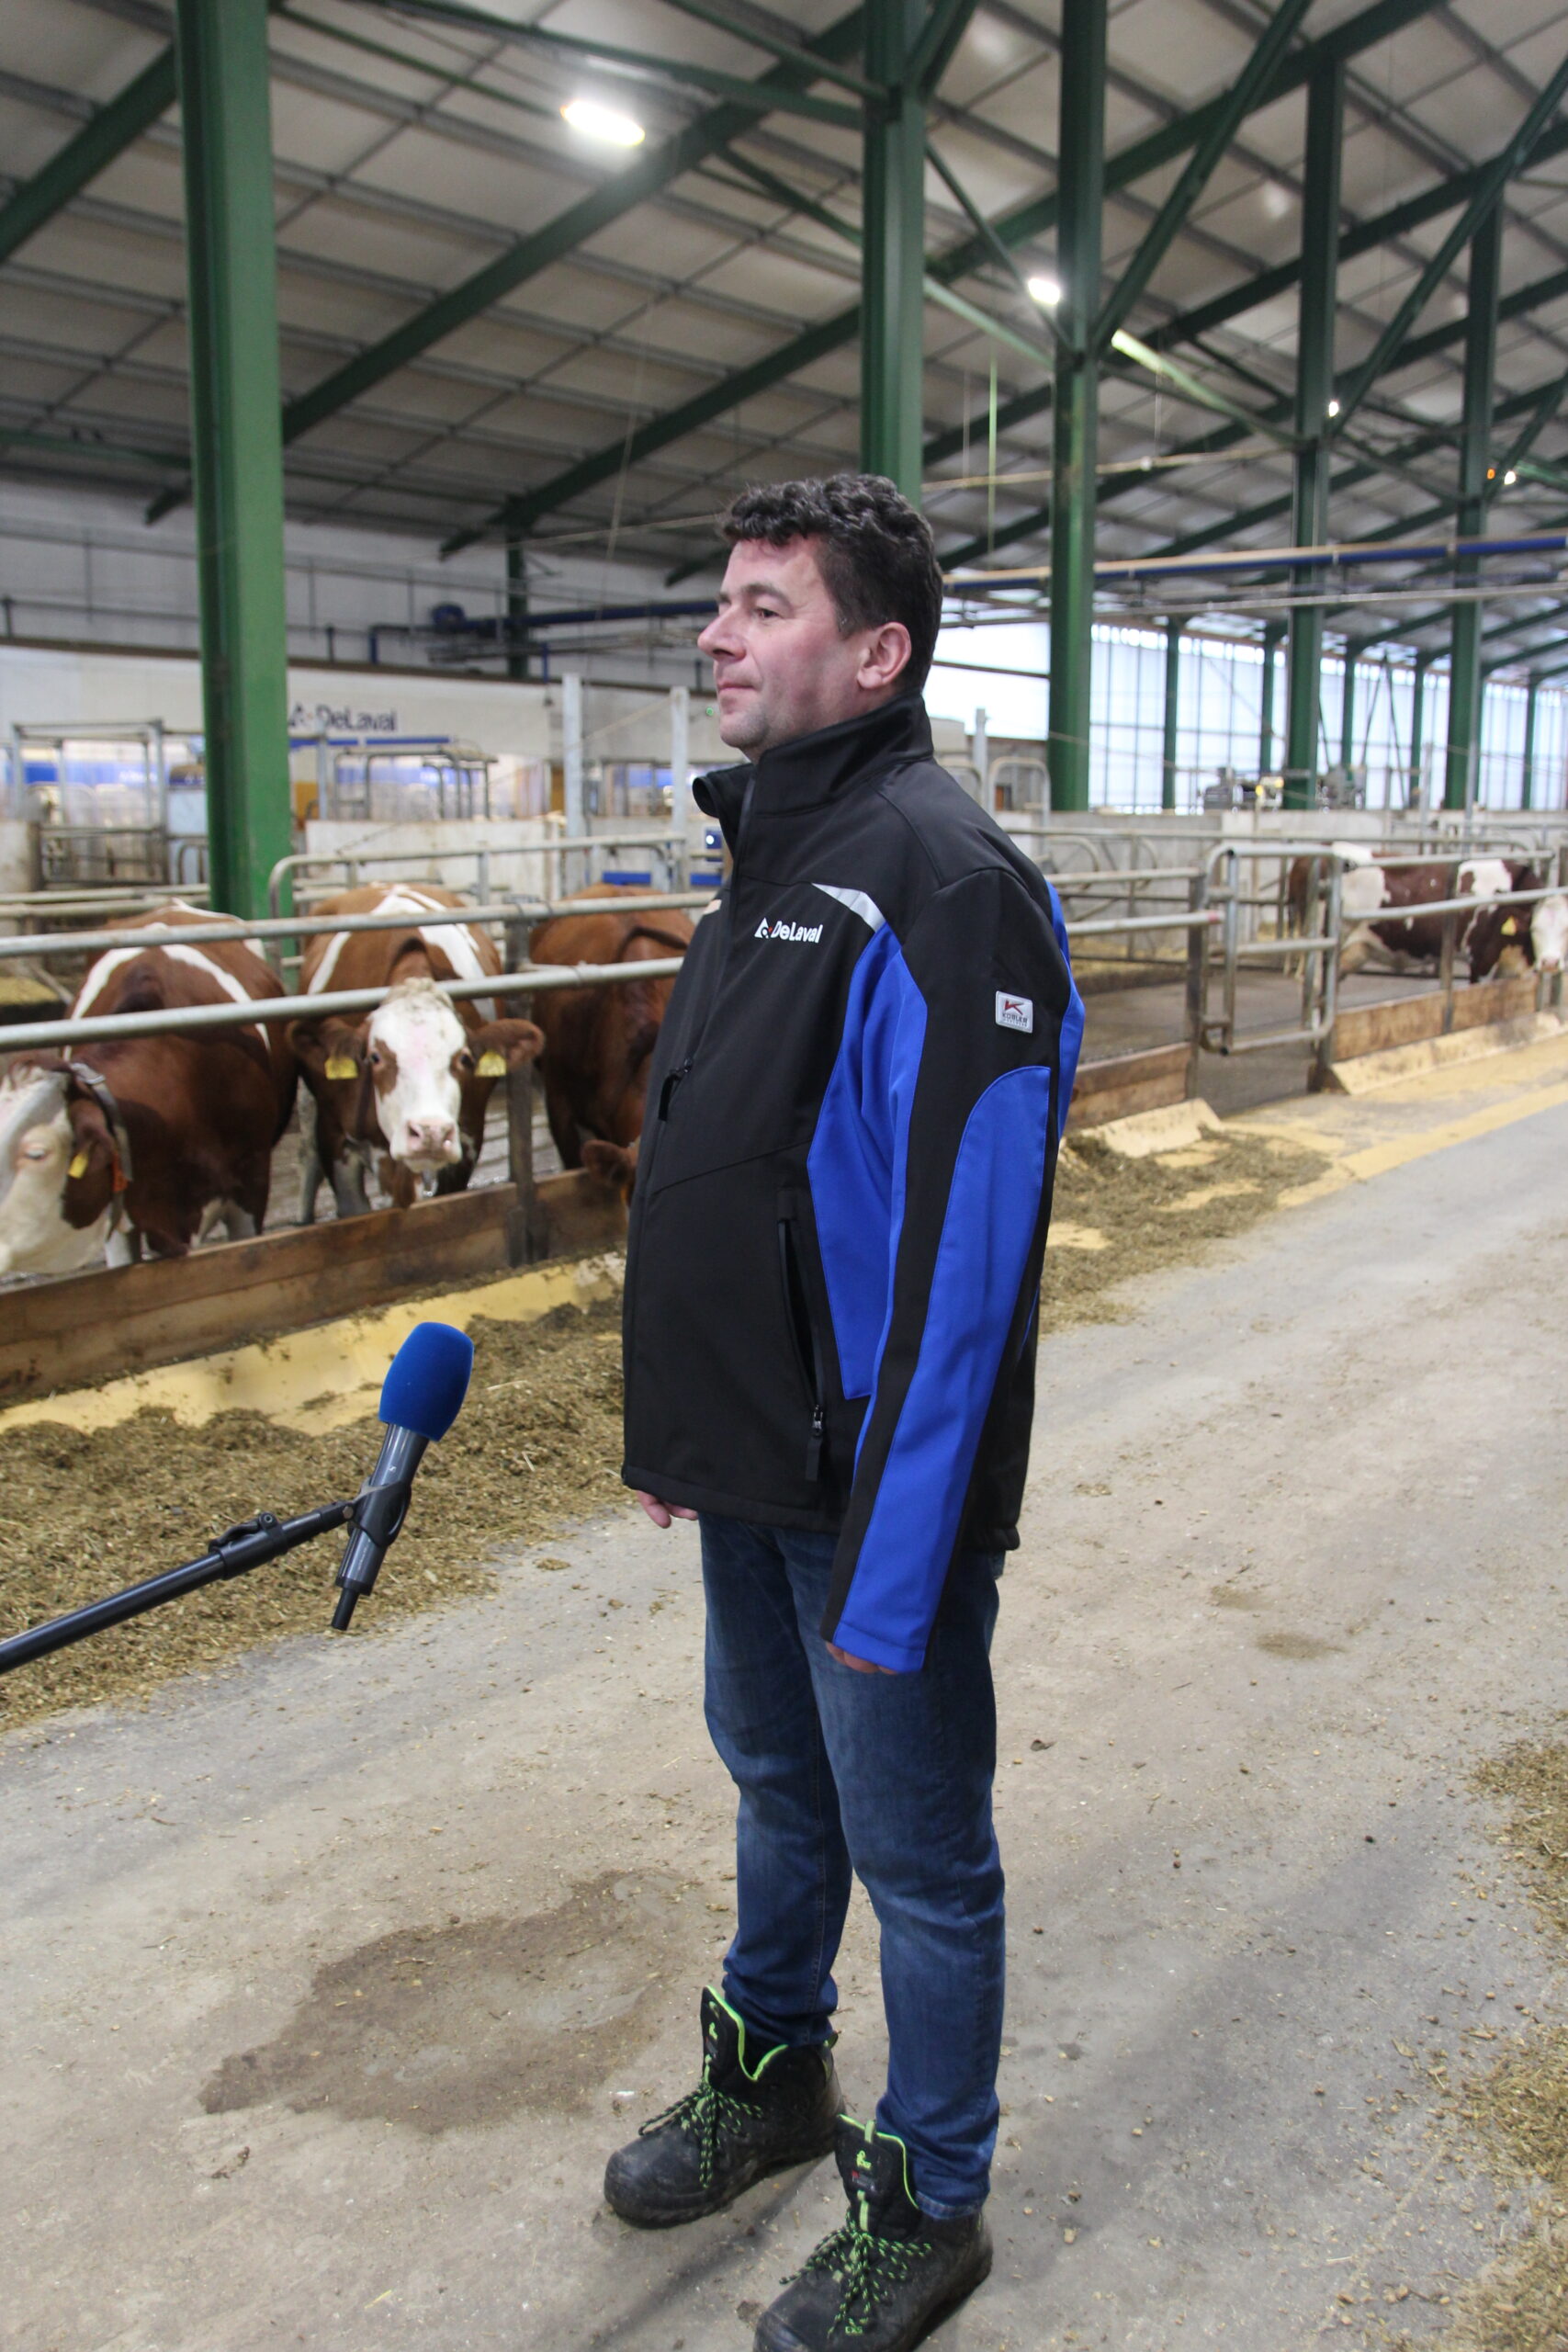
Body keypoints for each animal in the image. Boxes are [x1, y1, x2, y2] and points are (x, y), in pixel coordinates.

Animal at [289, 884, 542, 1219]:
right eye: (375, 1057)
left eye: (464, 1058)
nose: (430, 1132)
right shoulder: (336, 1141)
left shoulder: (467, 1139)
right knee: (307, 1152)